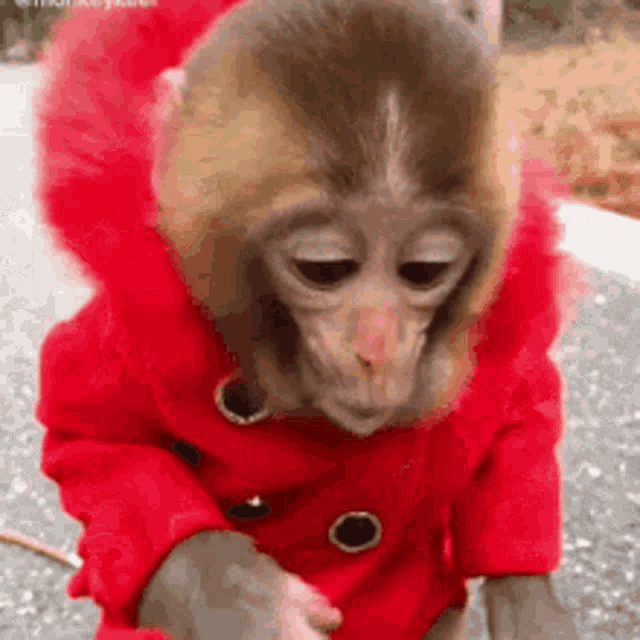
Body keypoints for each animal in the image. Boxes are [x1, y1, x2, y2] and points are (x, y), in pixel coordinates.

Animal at [32, 0, 583, 639]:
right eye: (324, 268)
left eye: (424, 269)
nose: (378, 348)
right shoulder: (131, 337)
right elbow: (93, 438)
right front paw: (238, 597)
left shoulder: (511, 305)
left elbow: (524, 406)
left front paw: (530, 604)